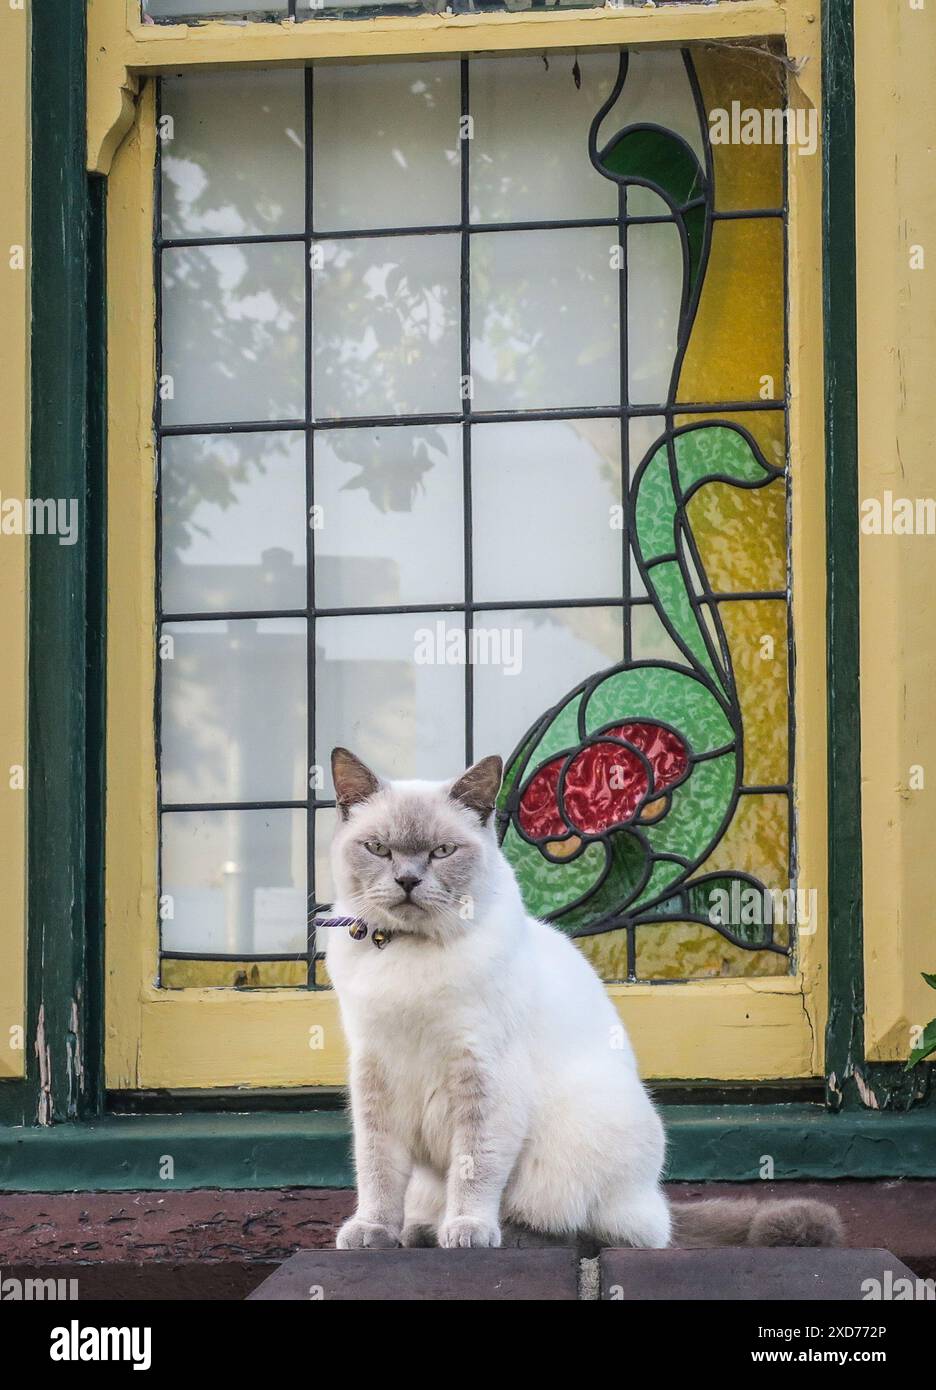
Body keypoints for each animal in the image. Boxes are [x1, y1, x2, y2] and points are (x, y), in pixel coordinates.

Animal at [325, 745, 845, 1256]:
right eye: (378, 849)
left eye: (441, 852)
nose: (407, 881)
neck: (408, 956)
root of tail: (659, 1205)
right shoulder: (374, 1076)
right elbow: (376, 1170)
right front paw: (370, 1233)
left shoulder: (484, 1077)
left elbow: (475, 1168)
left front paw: (468, 1230)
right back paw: (418, 1231)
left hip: (578, 1145)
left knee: (591, 1231)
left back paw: (481, 1234)